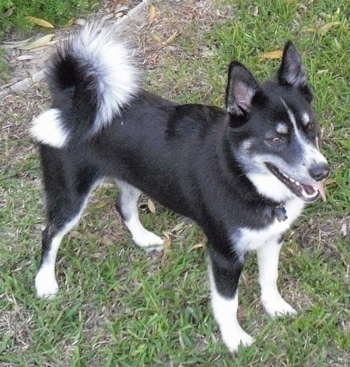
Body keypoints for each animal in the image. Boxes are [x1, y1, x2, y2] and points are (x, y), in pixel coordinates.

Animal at [31, 25, 330, 354]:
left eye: (311, 127)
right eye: (275, 140)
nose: (322, 171)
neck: (242, 176)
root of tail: (69, 100)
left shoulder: (272, 237)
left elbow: (270, 277)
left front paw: (275, 307)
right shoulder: (224, 255)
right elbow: (227, 302)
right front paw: (234, 339)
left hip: (136, 175)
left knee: (123, 206)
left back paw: (143, 238)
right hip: (69, 194)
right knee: (50, 233)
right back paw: (45, 283)